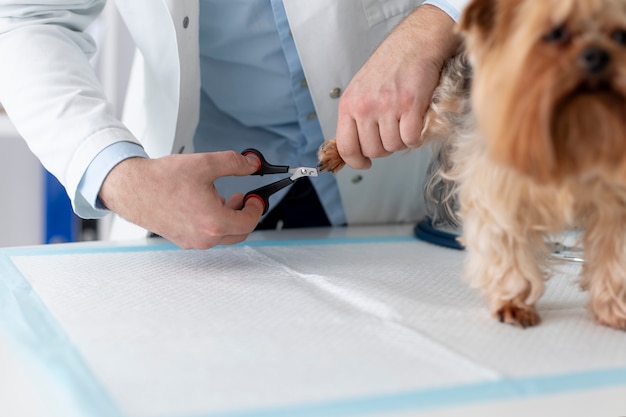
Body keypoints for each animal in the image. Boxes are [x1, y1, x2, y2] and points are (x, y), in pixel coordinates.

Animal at [320, 0, 624, 328]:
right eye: (554, 33)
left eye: (621, 35)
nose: (596, 55)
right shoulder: (499, 190)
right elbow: (505, 245)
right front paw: (513, 302)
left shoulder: (614, 201)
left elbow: (614, 252)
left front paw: (614, 309)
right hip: (427, 109)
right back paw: (334, 153)